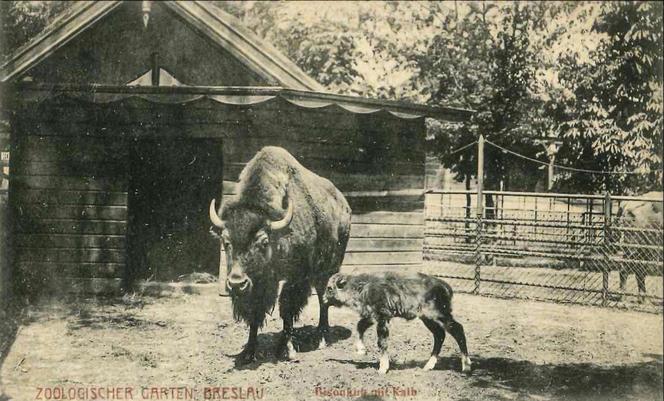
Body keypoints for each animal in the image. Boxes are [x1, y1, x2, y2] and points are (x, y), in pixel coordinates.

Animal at [209, 146, 352, 362]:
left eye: (263, 242)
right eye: (226, 242)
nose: (236, 283)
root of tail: (345, 205)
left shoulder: (296, 277)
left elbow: (287, 308)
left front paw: (286, 349)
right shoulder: (259, 284)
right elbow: (255, 313)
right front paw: (248, 351)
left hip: (327, 269)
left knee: (323, 299)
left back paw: (321, 337)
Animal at [322, 270, 472, 374]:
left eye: (329, 288)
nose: (323, 299)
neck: (362, 287)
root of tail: (446, 286)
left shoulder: (382, 317)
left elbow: (381, 342)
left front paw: (382, 368)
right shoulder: (372, 316)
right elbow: (359, 326)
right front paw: (361, 350)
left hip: (439, 315)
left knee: (457, 329)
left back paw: (466, 366)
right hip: (427, 319)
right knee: (439, 335)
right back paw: (428, 366)